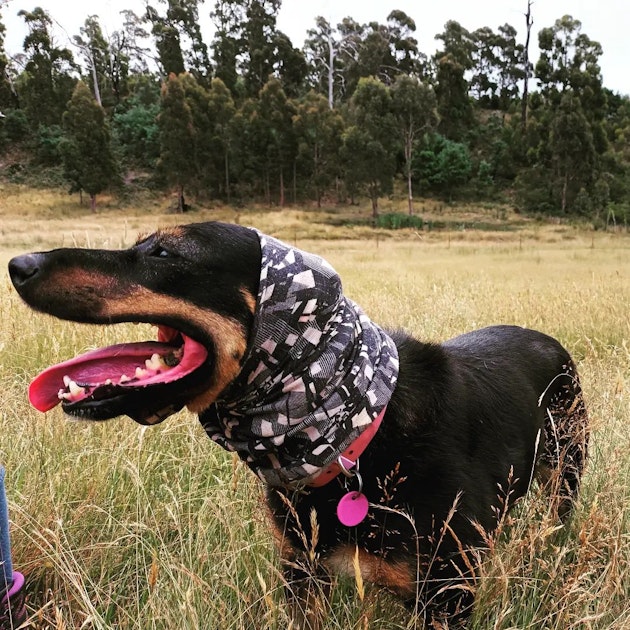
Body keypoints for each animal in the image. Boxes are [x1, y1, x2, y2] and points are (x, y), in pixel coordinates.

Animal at [7, 221, 592, 628]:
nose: (18, 264)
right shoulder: (302, 575)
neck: (355, 436)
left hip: (563, 476)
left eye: (165, 254)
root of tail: (549, 341)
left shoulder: (445, 598)